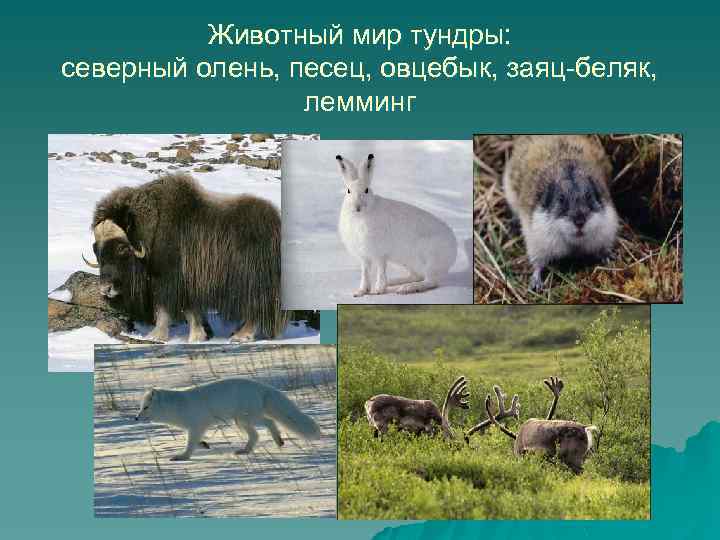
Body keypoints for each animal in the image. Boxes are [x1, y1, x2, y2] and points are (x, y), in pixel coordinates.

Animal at [336, 153, 457, 297]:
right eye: (348, 191)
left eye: (366, 190)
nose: (357, 207)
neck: (360, 216)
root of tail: (453, 251)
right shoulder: (364, 256)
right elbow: (365, 273)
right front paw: (360, 292)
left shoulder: (380, 253)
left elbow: (381, 271)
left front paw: (378, 291)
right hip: (409, 262)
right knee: (417, 276)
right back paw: (395, 282)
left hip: (430, 258)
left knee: (430, 281)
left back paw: (407, 288)